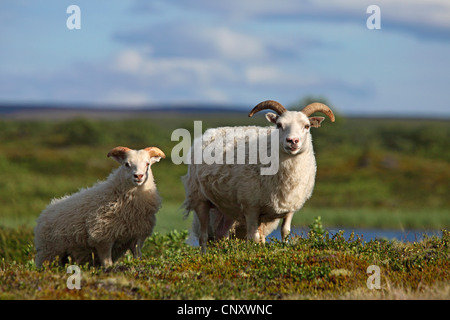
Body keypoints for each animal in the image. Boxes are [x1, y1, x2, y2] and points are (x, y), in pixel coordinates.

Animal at [34, 146, 165, 266]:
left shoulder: (137, 237)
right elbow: (108, 263)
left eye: (147, 164)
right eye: (127, 164)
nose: (139, 176)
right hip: (48, 252)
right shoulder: (102, 237)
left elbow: (138, 257)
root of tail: (46, 209)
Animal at [182, 99, 334, 251]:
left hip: (227, 207)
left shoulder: (290, 207)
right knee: (203, 236)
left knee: (222, 233)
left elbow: (285, 232)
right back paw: (205, 254)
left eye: (307, 126)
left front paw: (284, 248)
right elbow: (254, 237)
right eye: (279, 125)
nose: (293, 141)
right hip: (200, 199)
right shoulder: (251, 207)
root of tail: (208, 132)